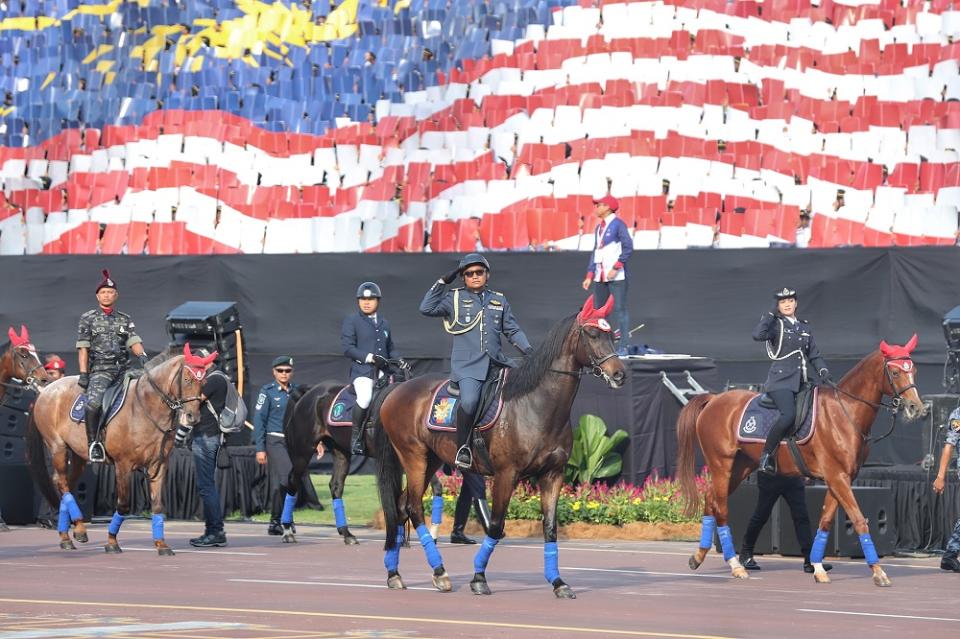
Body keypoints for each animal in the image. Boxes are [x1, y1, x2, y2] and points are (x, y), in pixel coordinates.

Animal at [25, 344, 210, 556]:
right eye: (187, 379)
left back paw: (66, 536)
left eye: (203, 381)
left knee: (65, 485)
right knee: (61, 482)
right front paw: (112, 541)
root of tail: (47, 389)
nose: (193, 417)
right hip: (58, 447)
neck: (146, 407)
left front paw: (161, 544)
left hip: (78, 455)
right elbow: (123, 504)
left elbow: (157, 505)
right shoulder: (123, 465)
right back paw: (79, 529)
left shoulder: (159, 465)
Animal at [278, 376, 442, 544]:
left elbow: (436, 487)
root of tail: (311, 391)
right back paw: (287, 530)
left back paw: (346, 534)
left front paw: (432, 534)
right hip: (302, 452)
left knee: (336, 486)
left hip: (340, 452)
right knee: (292, 481)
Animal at [372, 298, 628, 600]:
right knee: (412, 508)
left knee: (400, 507)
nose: (619, 374)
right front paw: (479, 578)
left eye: (612, 336)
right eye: (592, 334)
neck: (535, 405)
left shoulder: (552, 475)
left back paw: (394, 573)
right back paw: (439, 572)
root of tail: (398, 388)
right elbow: (495, 526)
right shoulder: (507, 475)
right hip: (414, 458)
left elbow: (550, 528)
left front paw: (557, 582)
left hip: (430, 460)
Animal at [676, 338, 924, 588]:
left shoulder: (840, 478)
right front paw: (878, 571)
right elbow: (858, 520)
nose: (916, 408)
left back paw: (699, 556)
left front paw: (817, 567)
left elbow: (825, 521)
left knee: (710, 499)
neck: (844, 412)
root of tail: (715, 399)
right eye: (895, 372)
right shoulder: (838, 477)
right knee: (721, 508)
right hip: (721, 465)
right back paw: (736, 565)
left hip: (740, 467)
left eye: (913, 370)